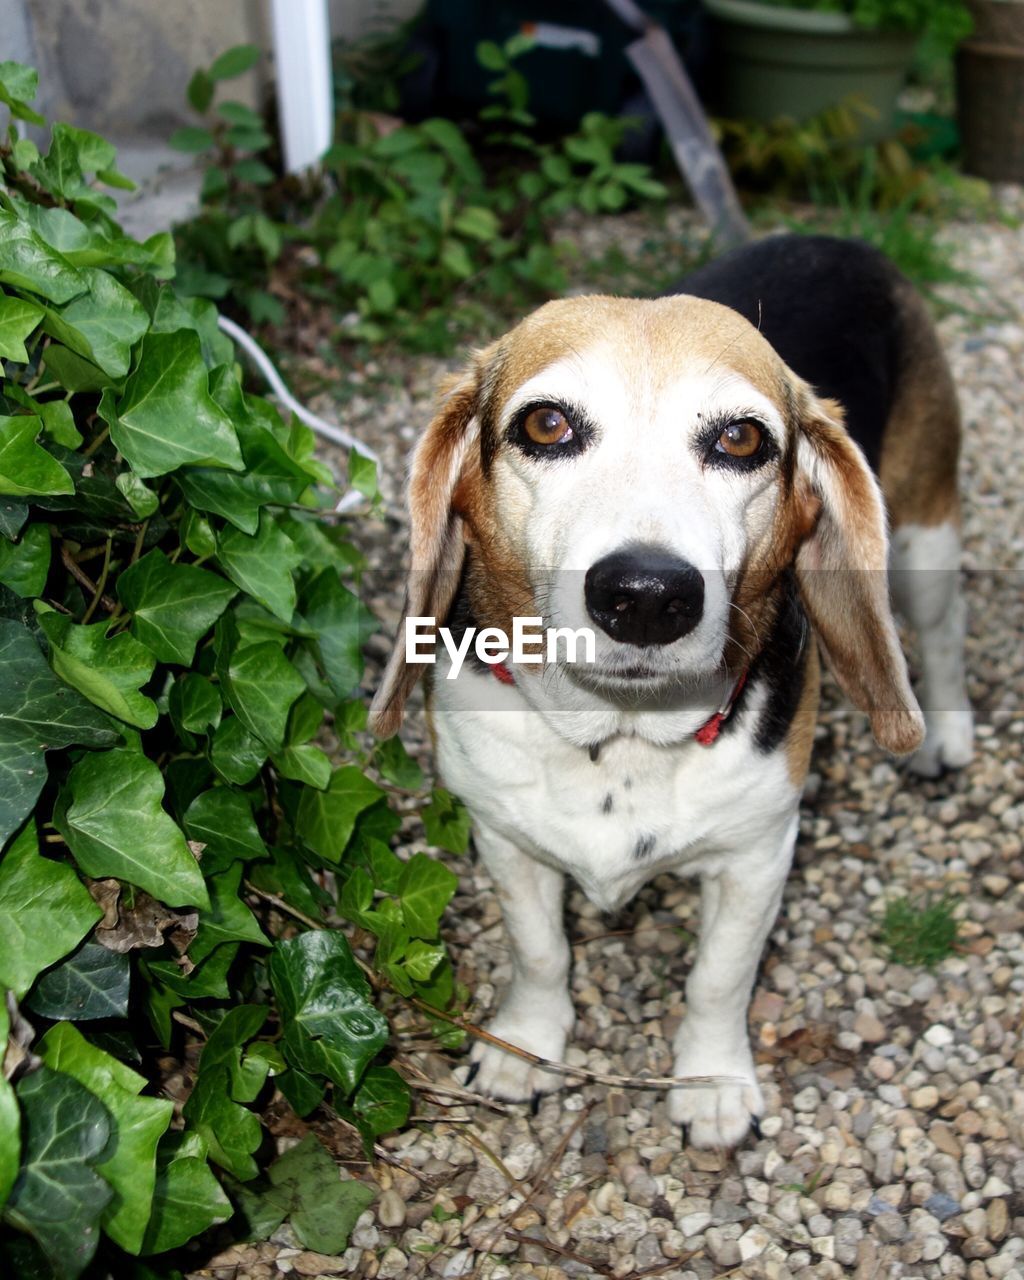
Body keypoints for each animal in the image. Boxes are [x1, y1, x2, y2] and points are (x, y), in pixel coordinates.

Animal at [371, 232, 977, 1152]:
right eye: (546, 424)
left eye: (741, 439)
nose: (649, 595)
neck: (619, 733)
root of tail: (832, 237)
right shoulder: (502, 837)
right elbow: (539, 951)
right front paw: (524, 1047)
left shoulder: (761, 856)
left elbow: (719, 979)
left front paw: (713, 1084)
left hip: (921, 540)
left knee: (939, 635)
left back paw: (944, 735)